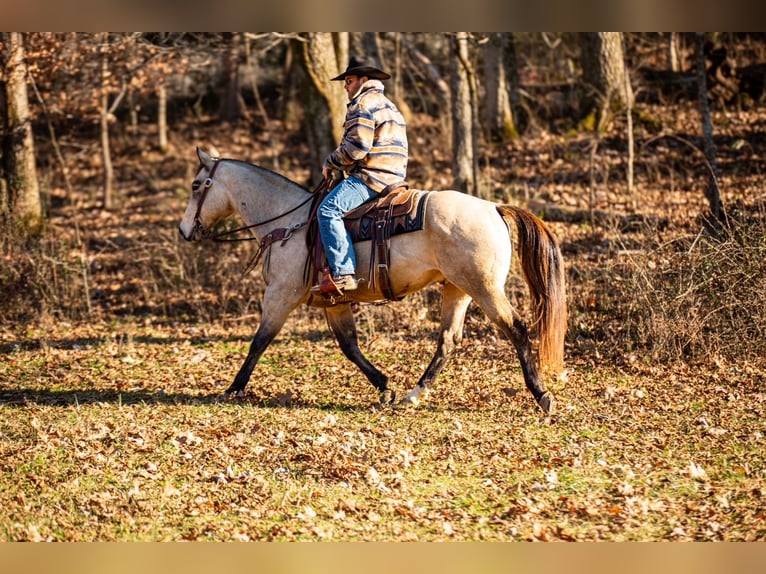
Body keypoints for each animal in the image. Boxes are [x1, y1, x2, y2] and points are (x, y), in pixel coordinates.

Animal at [179, 148, 567, 413]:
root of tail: (493, 207)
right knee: (447, 341)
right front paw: (384, 386)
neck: (291, 224)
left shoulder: (280, 295)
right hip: (457, 289)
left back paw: (542, 395)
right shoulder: (333, 303)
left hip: (484, 289)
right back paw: (413, 395)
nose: (184, 231)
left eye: (197, 185)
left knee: (517, 330)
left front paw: (233, 388)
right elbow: (349, 346)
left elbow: (259, 341)